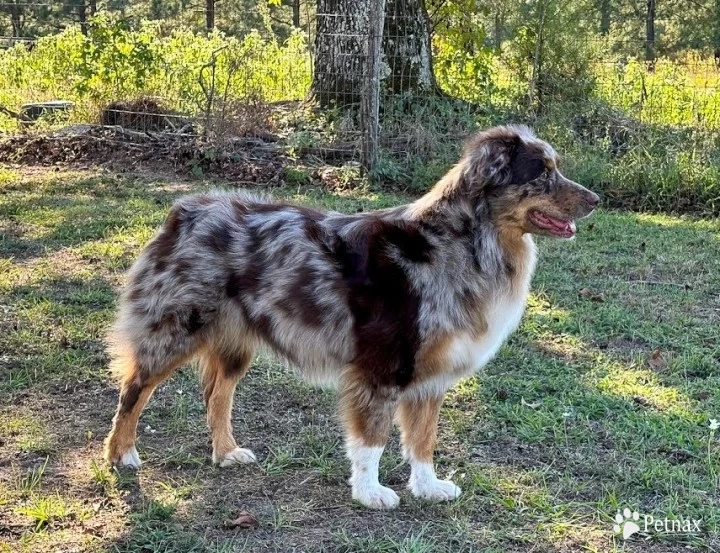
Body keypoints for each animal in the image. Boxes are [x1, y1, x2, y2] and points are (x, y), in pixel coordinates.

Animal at [101, 125, 596, 508]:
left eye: (555, 168)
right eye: (543, 173)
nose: (595, 199)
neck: (463, 244)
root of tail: (186, 209)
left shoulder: (430, 375)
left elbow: (423, 439)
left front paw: (427, 486)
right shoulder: (381, 368)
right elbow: (372, 440)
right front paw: (370, 492)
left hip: (234, 343)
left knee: (217, 396)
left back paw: (226, 452)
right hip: (176, 329)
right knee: (134, 390)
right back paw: (120, 453)